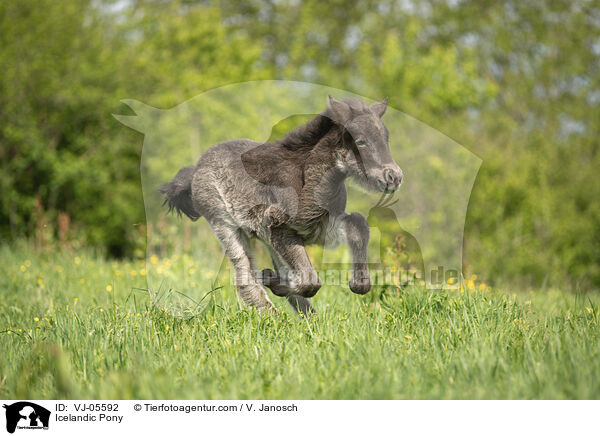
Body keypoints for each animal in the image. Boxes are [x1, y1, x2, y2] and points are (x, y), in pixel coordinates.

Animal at [162, 96, 400, 314]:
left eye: (386, 139)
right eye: (360, 142)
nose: (394, 177)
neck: (311, 184)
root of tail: (195, 170)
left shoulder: (320, 229)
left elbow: (357, 224)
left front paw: (358, 283)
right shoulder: (278, 227)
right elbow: (309, 281)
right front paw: (272, 281)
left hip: (265, 239)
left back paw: (308, 318)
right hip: (225, 224)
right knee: (245, 276)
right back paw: (271, 315)